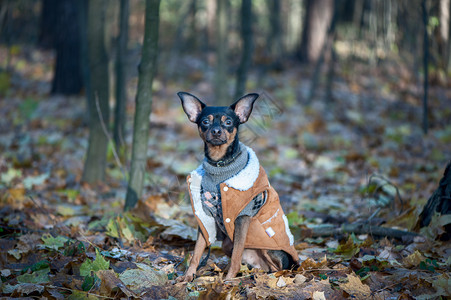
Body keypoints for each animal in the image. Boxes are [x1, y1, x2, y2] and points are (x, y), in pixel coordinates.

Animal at [177, 91, 300, 282]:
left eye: (228, 122)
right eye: (205, 122)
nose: (216, 131)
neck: (220, 165)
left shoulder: (242, 218)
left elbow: (236, 256)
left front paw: (228, 280)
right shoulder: (205, 220)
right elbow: (196, 253)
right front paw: (188, 276)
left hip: (266, 247)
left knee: (275, 268)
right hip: (228, 244)